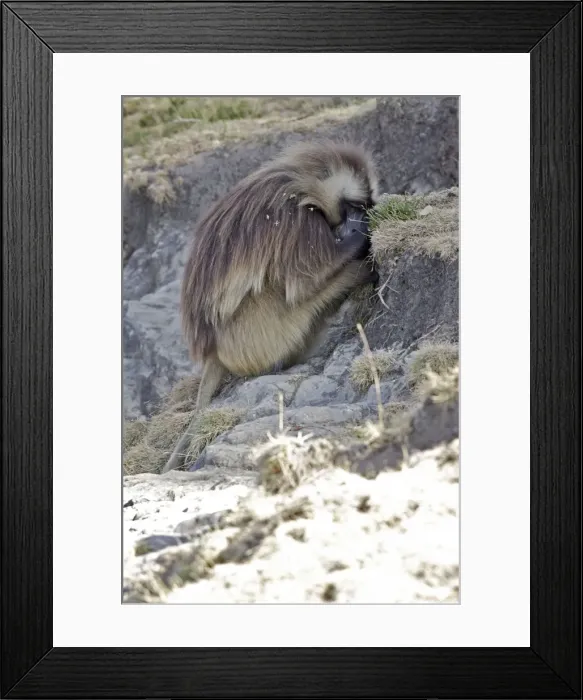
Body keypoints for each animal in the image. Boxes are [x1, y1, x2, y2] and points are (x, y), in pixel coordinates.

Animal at [162, 140, 380, 473]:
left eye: (365, 204)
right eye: (354, 205)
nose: (359, 219)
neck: (299, 184)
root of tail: (213, 352)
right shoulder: (298, 223)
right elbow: (303, 283)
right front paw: (360, 240)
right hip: (254, 336)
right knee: (287, 291)